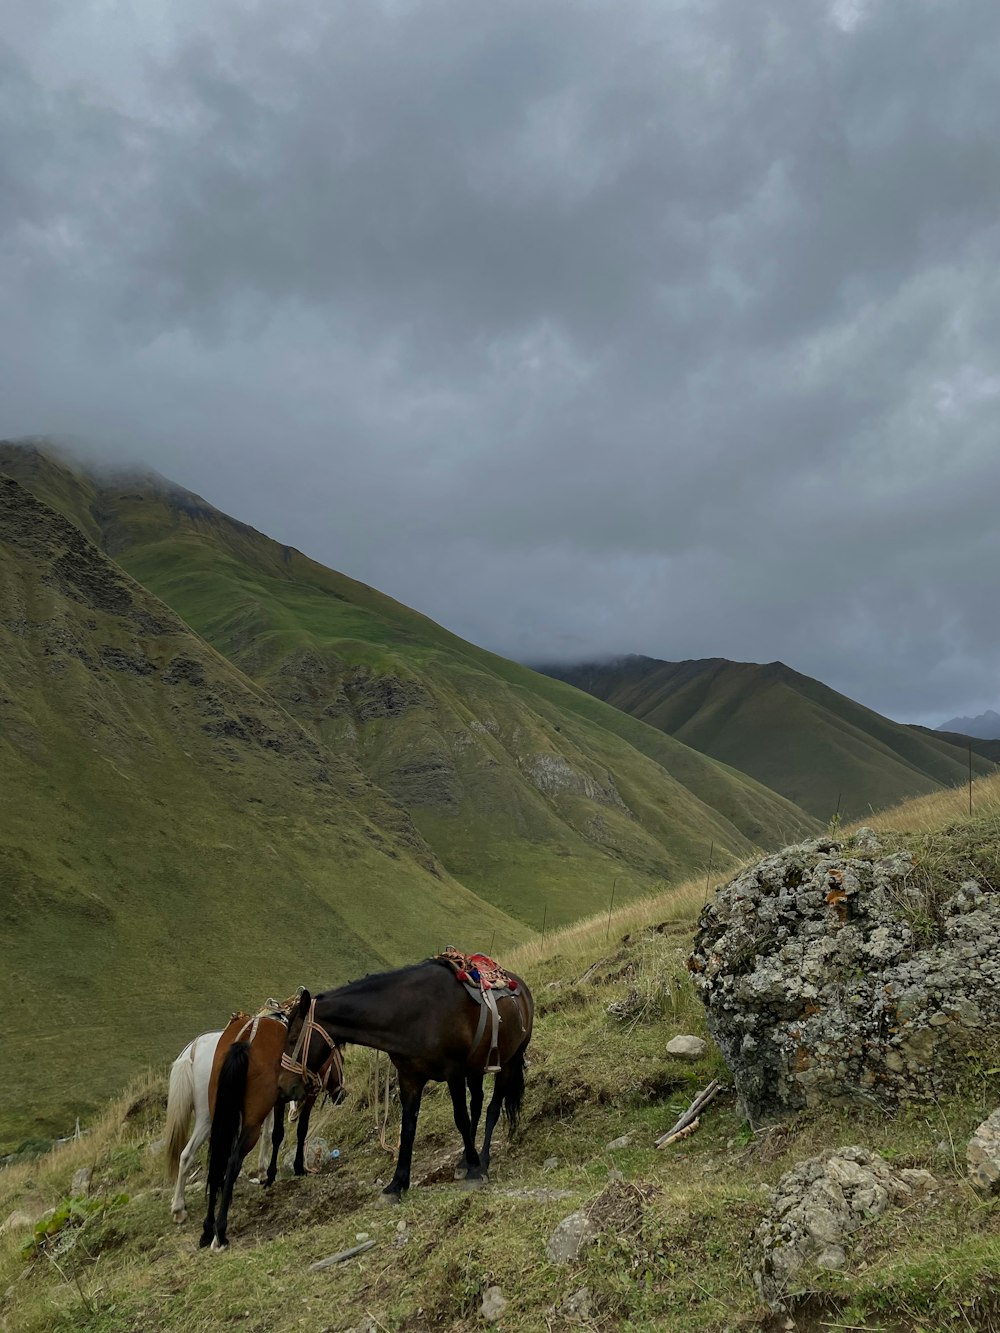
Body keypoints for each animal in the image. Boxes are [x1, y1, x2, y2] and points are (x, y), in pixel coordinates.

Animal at [201, 1002, 346, 1247]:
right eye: (341, 1062)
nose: (342, 1095)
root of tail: (243, 1041)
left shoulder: (280, 1098)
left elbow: (278, 1134)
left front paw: (270, 1176)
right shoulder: (307, 1094)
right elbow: (301, 1129)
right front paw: (298, 1167)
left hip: (222, 1115)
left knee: (218, 1160)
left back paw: (207, 1228)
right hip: (251, 1124)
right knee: (233, 1161)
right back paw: (221, 1229)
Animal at [289, 954, 536, 1205]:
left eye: (291, 1039)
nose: (291, 1088)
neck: (412, 1014)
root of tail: (522, 988)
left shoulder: (454, 1073)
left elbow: (461, 1119)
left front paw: (475, 1173)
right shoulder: (409, 1078)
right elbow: (408, 1129)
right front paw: (396, 1185)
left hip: (509, 1062)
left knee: (492, 1108)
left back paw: (482, 1162)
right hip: (475, 1070)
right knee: (477, 1104)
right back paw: (464, 1162)